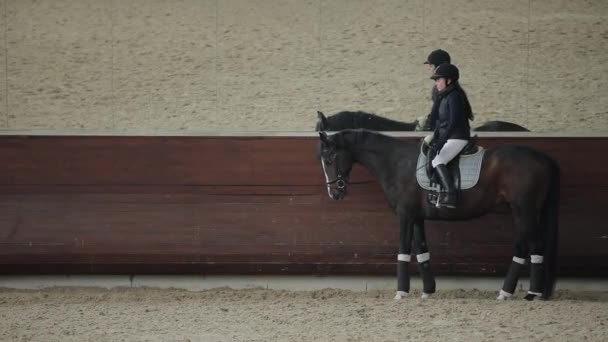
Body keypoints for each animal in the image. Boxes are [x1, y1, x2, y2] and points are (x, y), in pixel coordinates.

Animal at [318, 130, 560, 300]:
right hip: (520, 211)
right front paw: (427, 291)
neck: (397, 162)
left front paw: (401, 292)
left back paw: (532, 293)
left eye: (329, 160)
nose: (334, 193)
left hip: (524, 209)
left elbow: (404, 250)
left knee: (536, 245)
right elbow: (422, 250)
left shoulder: (405, 215)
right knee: (522, 246)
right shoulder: (416, 217)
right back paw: (505, 293)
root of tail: (543, 158)